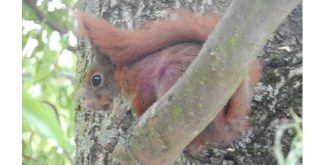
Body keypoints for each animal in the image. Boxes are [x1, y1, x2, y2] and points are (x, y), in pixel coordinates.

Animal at [77, 10, 262, 155]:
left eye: (96, 80)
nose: (89, 105)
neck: (125, 73)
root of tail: (223, 126)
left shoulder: (141, 86)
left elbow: (141, 103)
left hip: (171, 75)